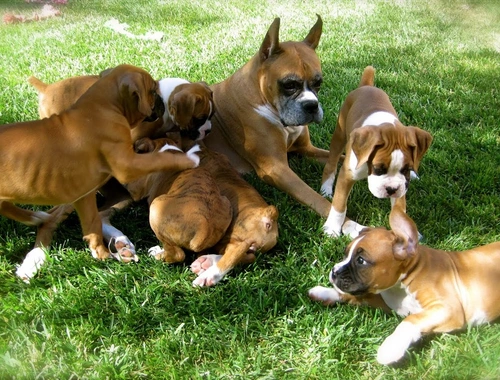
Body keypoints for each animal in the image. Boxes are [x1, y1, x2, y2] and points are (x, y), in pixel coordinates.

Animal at [2, 63, 201, 280]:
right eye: (151, 91)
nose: (161, 101)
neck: (100, 105)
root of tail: (47, 88)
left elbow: (92, 226)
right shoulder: (127, 164)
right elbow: (159, 158)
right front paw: (187, 158)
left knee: (98, 216)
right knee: (51, 219)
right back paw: (34, 255)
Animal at [203, 15, 332, 217]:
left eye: (318, 82)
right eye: (289, 85)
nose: (312, 105)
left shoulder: (307, 150)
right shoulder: (275, 168)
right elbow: (314, 197)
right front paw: (347, 222)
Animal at [306, 205, 500, 366]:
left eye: (361, 261)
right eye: (345, 254)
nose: (334, 271)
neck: (401, 285)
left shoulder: (448, 309)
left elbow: (411, 320)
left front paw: (390, 348)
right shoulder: (387, 302)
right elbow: (358, 295)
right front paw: (325, 292)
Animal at [320, 65, 434, 238]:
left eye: (406, 169)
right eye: (378, 169)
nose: (391, 189)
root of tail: (367, 86)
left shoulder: (402, 185)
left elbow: (399, 210)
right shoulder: (347, 176)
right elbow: (339, 206)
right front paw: (332, 228)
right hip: (339, 135)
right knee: (331, 163)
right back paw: (326, 188)